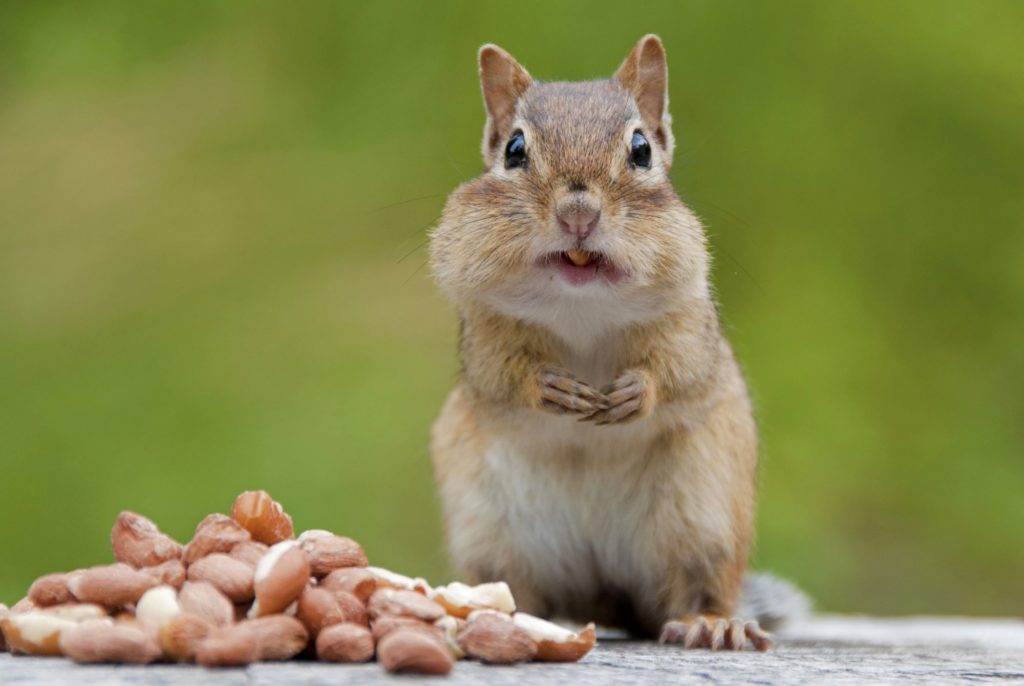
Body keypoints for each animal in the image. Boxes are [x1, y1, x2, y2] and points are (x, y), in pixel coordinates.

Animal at [428, 35, 807, 650]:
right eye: (514, 150)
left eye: (641, 149)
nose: (578, 214)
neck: (581, 307)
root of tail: (604, 596)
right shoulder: (484, 334)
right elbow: (503, 374)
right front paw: (550, 388)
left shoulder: (687, 323)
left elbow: (677, 369)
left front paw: (635, 393)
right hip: (489, 530)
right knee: (518, 587)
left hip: (705, 518)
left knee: (697, 588)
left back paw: (712, 623)